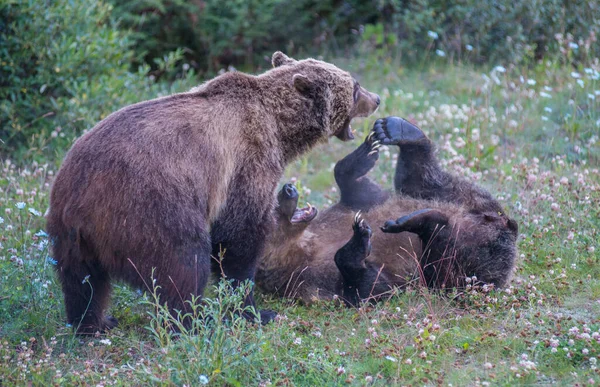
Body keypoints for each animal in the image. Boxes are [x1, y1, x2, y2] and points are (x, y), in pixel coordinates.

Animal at [45, 50, 380, 334]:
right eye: (355, 87)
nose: (376, 98)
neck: (280, 128)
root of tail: (81, 200)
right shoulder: (246, 162)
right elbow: (239, 234)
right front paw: (256, 310)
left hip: (70, 230)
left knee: (83, 282)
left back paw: (95, 322)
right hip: (148, 208)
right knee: (183, 261)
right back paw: (195, 319)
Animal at [255, 116, 516, 306]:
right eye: (272, 210)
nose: (287, 189)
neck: (304, 244)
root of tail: (505, 226)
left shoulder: (352, 207)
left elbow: (356, 187)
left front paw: (365, 152)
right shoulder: (310, 280)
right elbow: (373, 287)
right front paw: (359, 238)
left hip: (466, 199)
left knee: (426, 181)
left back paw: (399, 130)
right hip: (471, 265)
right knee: (442, 260)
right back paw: (419, 222)